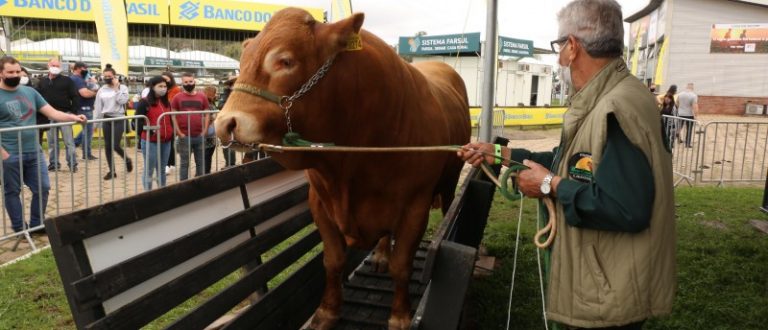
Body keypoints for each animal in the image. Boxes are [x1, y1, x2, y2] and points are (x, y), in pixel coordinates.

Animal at [213, 8, 472, 330]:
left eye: (285, 61)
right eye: (242, 62)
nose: (225, 123)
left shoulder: (416, 206)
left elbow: (402, 265)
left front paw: (400, 314)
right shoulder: (320, 202)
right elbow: (333, 260)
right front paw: (327, 311)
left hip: (450, 179)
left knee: (448, 203)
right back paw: (380, 254)